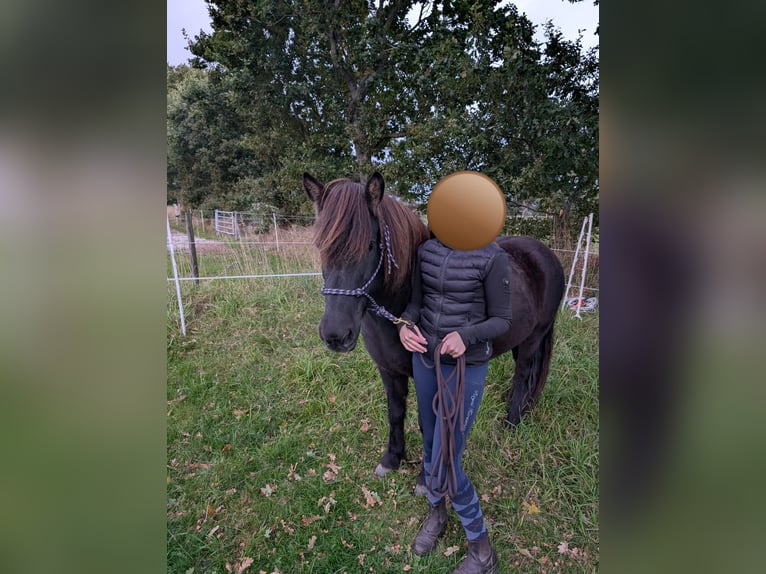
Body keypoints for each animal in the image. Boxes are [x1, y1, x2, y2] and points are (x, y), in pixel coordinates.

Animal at [303, 171, 565, 490]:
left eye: (370, 246)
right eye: (321, 247)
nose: (335, 335)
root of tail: (545, 254)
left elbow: (426, 421)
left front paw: (425, 478)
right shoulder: (388, 371)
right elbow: (395, 412)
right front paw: (392, 459)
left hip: (533, 339)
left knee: (524, 373)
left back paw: (512, 422)